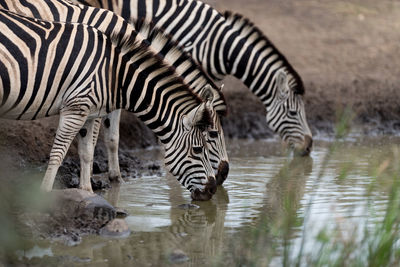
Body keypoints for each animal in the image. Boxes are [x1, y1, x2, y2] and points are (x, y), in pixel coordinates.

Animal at [0, 0, 230, 187]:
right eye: (212, 134)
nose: (223, 175)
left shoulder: (109, 98)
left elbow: (111, 138)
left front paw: (113, 177)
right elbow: (95, 141)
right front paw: (90, 182)